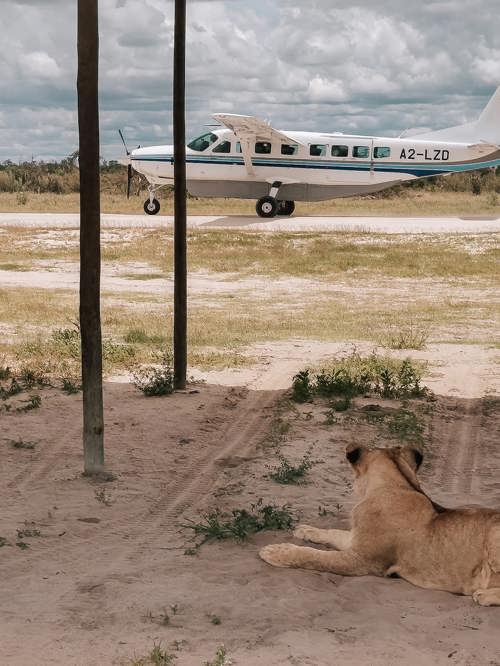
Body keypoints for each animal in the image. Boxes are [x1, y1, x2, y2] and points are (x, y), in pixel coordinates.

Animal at [259, 445, 500, 606]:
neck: (400, 485)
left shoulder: (362, 560)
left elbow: (315, 557)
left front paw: (276, 551)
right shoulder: (356, 540)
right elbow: (334, 532)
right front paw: (306, 530)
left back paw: (483, 594)